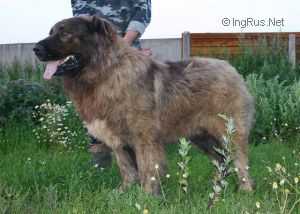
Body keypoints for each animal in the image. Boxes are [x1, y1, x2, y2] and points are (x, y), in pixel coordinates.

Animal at [34, 15, 254, 195]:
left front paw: (147, 196)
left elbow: (148, 169)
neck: (105, 71)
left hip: (228, 133)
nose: (36, 49)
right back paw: (217, 188)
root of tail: (231, 69)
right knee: (221, 161)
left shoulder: (144, 138)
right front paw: (124, 193)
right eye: (51, 32)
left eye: (65, 33)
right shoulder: (119, 141)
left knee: (239, 162)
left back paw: (245, 191)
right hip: (202, 137)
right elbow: (128, 169)